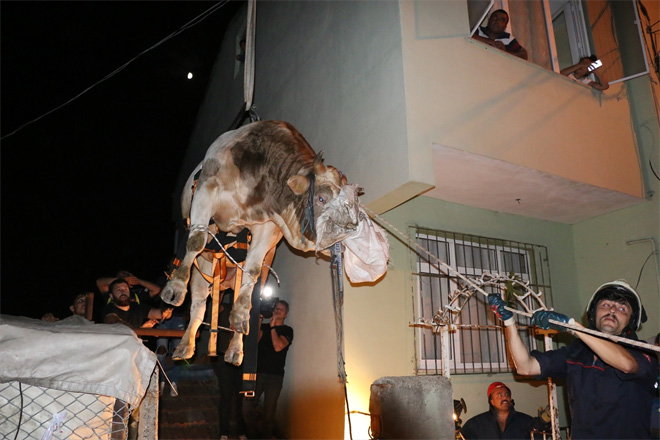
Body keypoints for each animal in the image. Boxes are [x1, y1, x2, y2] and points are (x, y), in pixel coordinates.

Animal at [162, 119, 360, 364]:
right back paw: (184, 345)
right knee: (198, 303)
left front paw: (239, 318)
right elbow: (196, 240)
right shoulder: (206, 190)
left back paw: (235, 349)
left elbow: (252, 271)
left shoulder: (268, 227)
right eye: (321, 198)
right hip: (203, 266)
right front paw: (174, 289)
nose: (343, 238)